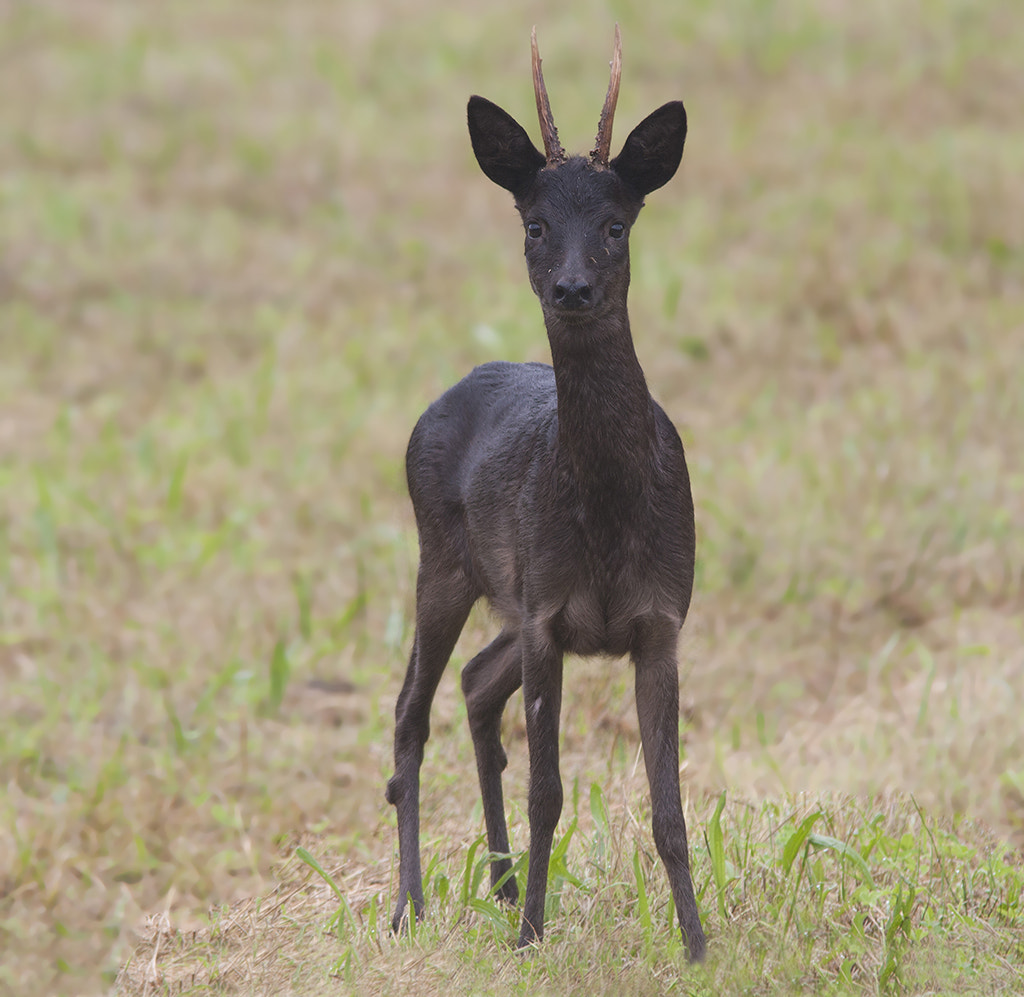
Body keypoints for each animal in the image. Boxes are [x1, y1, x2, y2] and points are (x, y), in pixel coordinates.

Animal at [384, 26, 706, 962]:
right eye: (533, 223)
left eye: (614, 223)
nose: (571, 288)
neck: (609, 517)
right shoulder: (548, 613)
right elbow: (548, 791)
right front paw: (531, 937)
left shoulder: (659, 618)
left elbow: (670, 806)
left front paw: (698, 943)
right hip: (444, 561)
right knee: (411, 707)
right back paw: (413, 903)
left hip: (503, 596)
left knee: (471, 686)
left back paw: (496, 882)